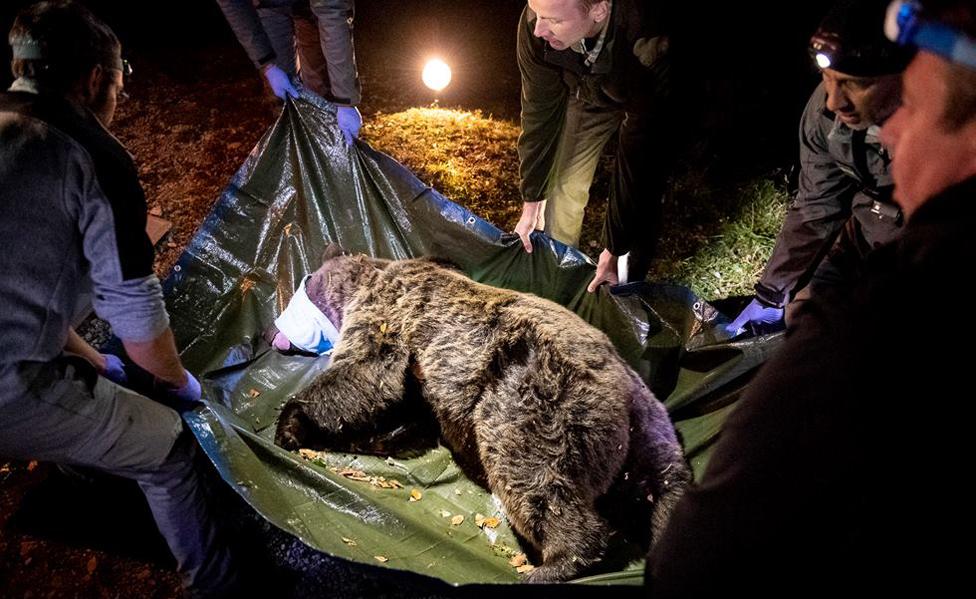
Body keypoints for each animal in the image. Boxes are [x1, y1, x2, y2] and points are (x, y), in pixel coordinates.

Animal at [270, 245, 692, 580]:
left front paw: (290, 423)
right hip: (653, 434)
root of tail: (624, 396)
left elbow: (364, 374)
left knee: (535, 480)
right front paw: (385, 435)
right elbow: (405, 415)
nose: (274, 335)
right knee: (665, 487)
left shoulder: (389, 320)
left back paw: (551, 564)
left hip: (530, 405)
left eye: (301, 290)